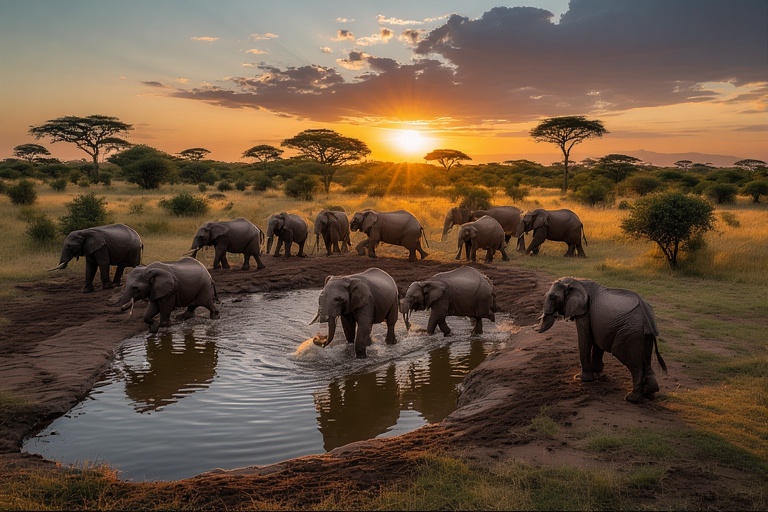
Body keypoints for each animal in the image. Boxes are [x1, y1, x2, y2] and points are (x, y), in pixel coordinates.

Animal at [535, 277, 667, 404]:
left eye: (553, 297)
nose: (534, 326)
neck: (576, 281)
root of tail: (647, 316)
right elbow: (597, 342)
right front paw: (598, 376)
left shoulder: (585, 312)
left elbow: (585, 339)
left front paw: (580, 378)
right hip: (644, 334)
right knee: (646, 361)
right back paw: (649, 394)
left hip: (630, 333)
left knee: (631, 362)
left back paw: (632, 399)